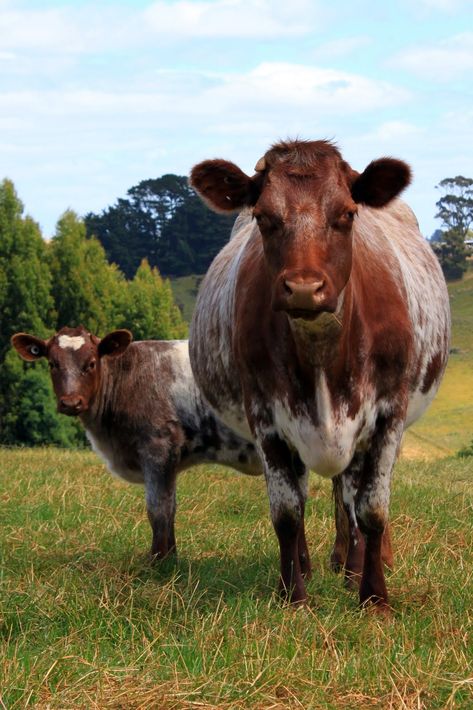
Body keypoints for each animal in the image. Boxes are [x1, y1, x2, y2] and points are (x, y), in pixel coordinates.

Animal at [10, 326, 262, 560]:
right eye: (53, 363)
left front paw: (158, 562)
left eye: (91, 363)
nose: (71, 402)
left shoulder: (158, 448)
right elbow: (170, 507)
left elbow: (158, 509)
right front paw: (170, 558)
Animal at [189, 138, 450, 612]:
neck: (321, 350)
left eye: (346, 214)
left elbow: (371, 509)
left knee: (350, 495)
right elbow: (288, 511)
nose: (305, 289)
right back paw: (313, 566)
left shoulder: (388, 412)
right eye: (264, 217)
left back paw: (355, 566)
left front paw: (374, 595)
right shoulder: (266, 415)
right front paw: (293, 594)